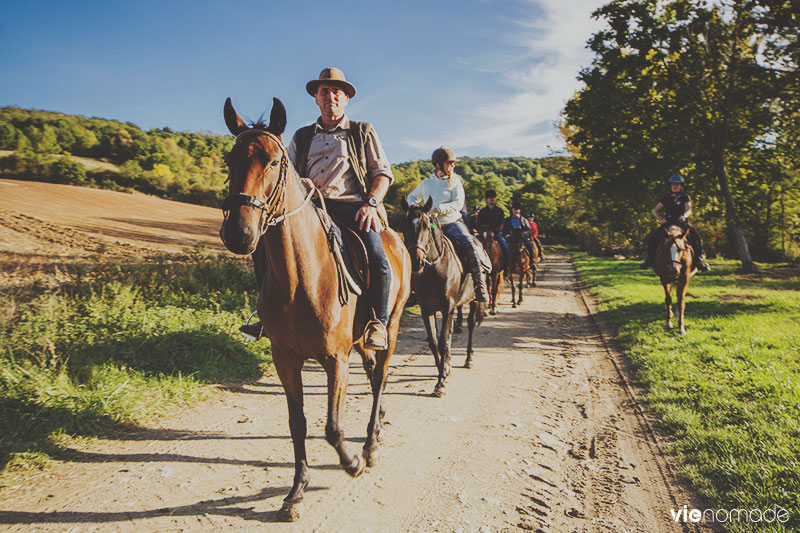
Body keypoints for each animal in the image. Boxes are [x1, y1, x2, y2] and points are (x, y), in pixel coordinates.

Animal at [219, 96, 410, 520]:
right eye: (229, 160)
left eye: (274, 161)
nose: (239, 233)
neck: (301, 278)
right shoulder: (285, 357)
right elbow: (298, 423)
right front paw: (296, 492)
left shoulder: (335, 358)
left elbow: (332, 427)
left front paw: (352, 463)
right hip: (360, 341)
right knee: (372, 373)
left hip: (390, 325)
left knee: (379, 377)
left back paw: (370, 445)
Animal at [400, 198, 488, 394]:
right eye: (405, 225)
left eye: (426, 226)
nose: (416, 261)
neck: (434, 269)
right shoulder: (427, 309)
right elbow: (434, 341)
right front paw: (444, 369)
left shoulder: (447, 308)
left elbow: (443, 342)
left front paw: (440, 382)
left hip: (472, 300)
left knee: (471, 324)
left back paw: (468, 359)